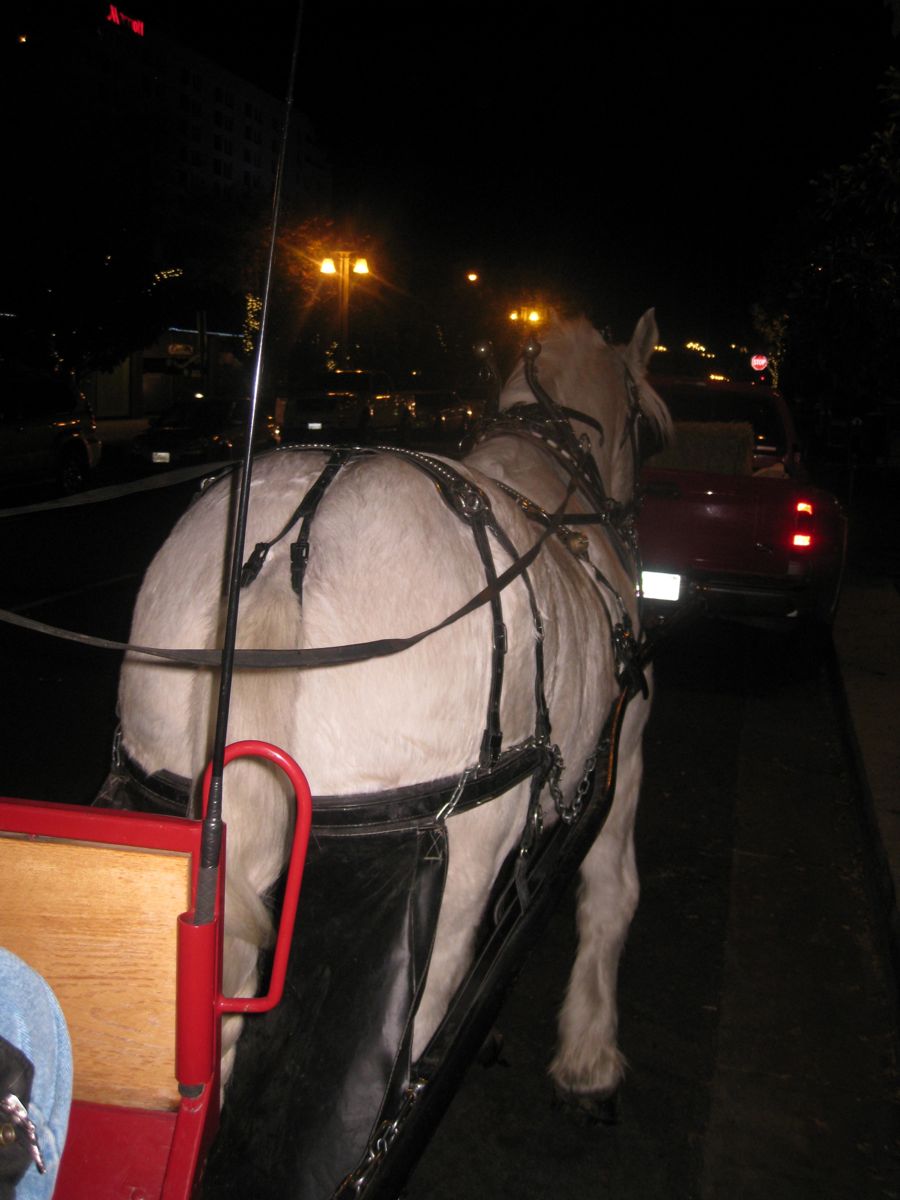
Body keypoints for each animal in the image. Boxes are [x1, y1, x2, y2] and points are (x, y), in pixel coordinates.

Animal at [116, 309, 672, 1113]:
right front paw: (590, 1053)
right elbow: (612, 894)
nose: (631, 515)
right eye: (643, 422)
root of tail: (282, 548)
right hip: (456, 864)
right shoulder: (622, 746)